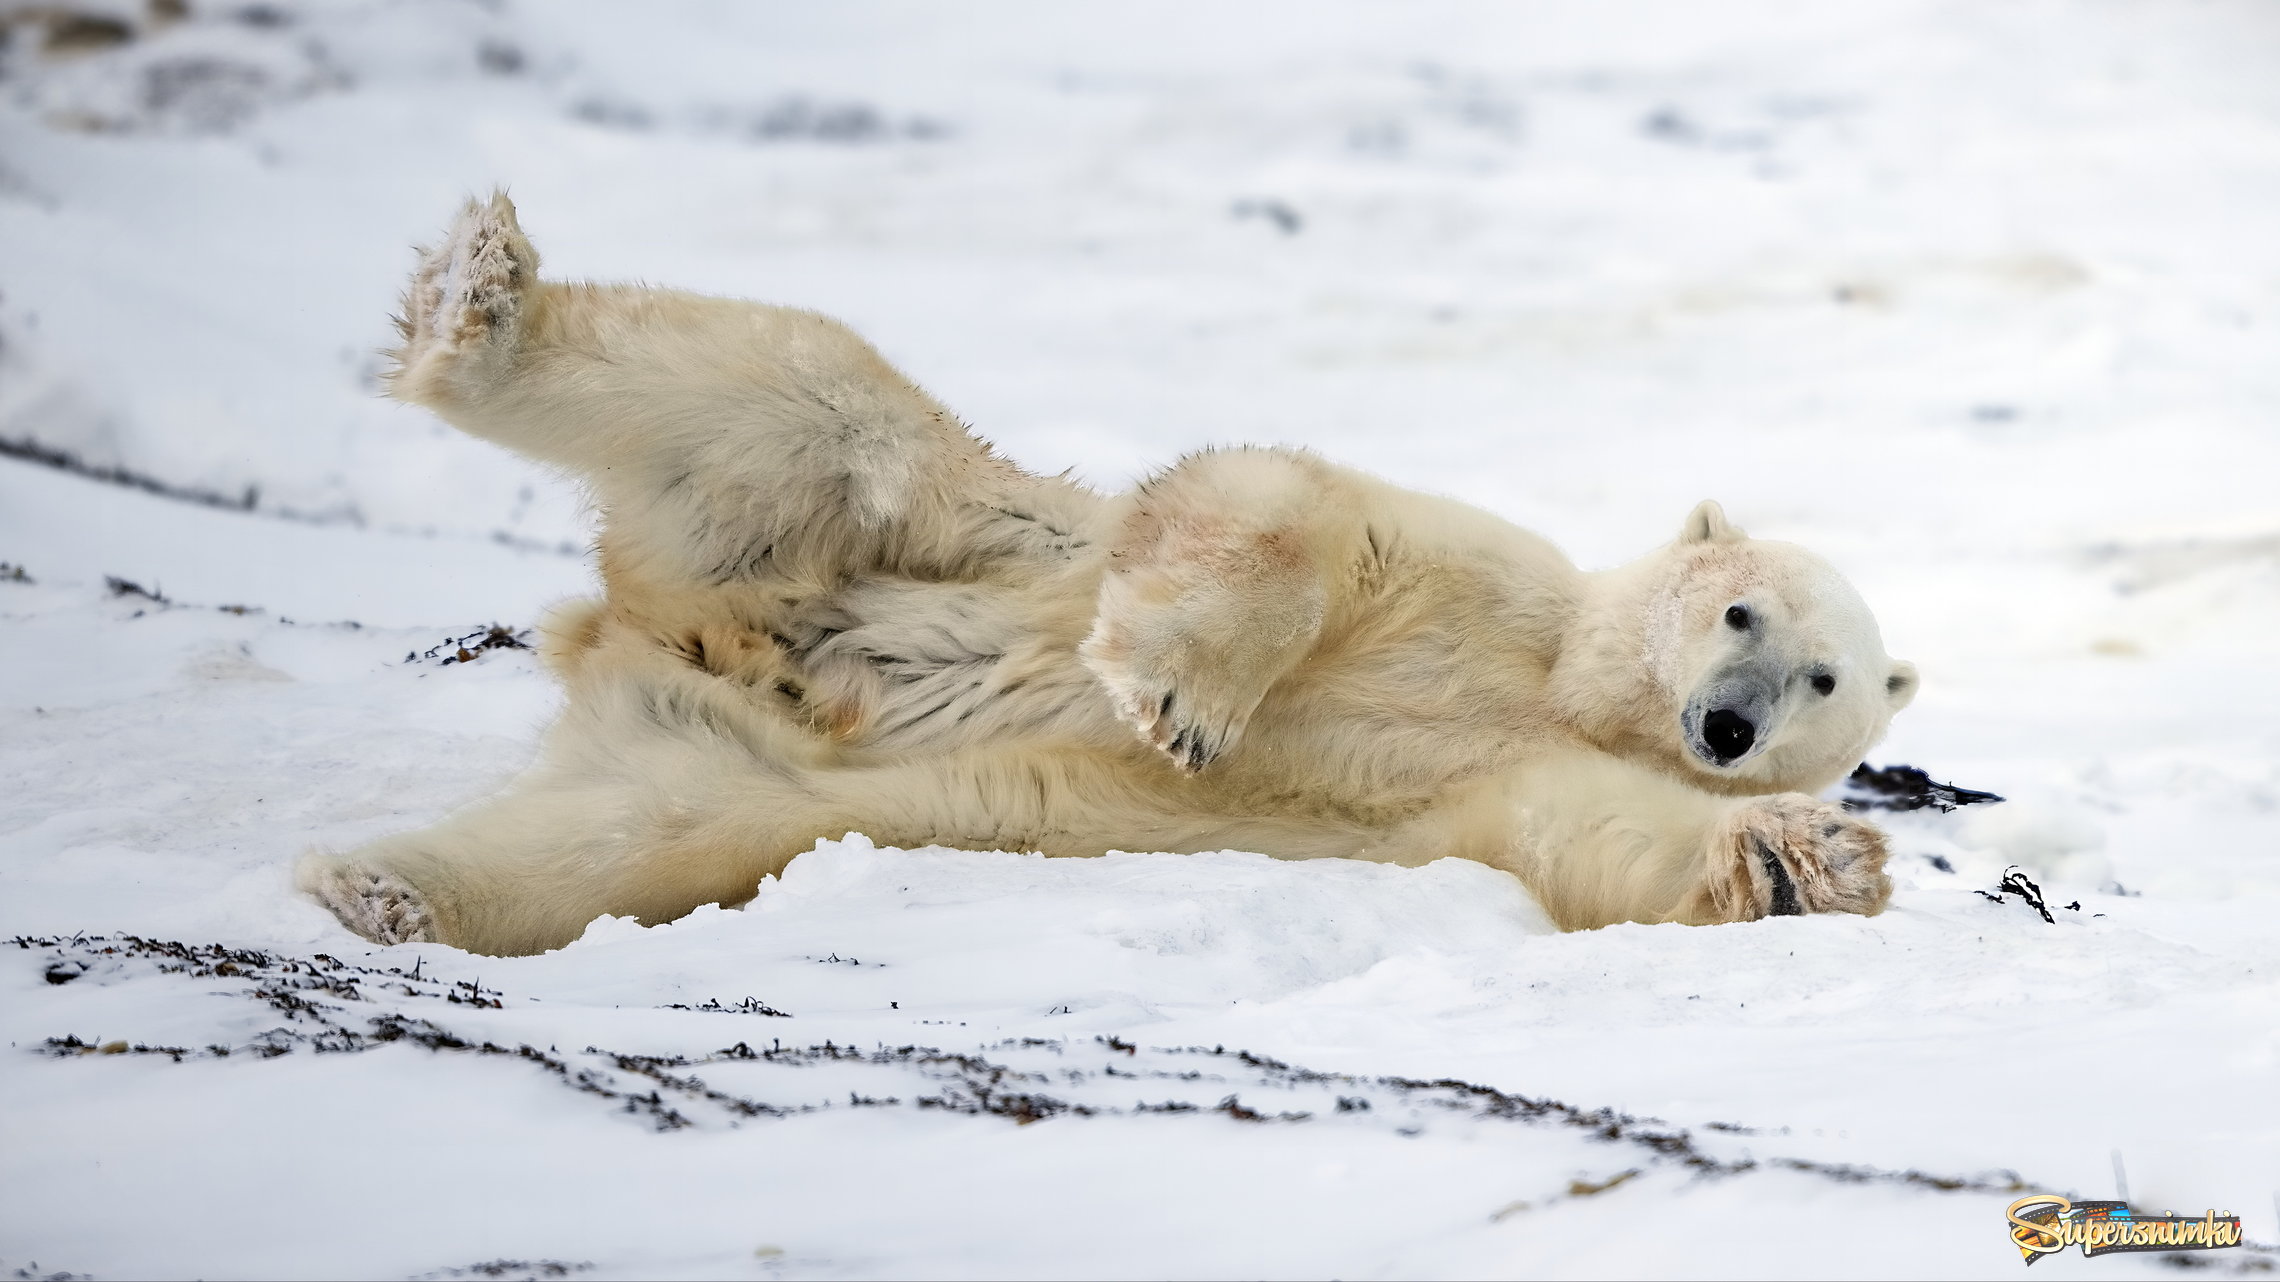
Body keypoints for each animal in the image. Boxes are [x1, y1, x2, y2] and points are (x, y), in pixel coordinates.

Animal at [298, 195, 1906, 953]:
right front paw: (1184, 703)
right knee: (799, 392)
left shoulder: (1528, 774)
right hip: (863, 516)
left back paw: (381, 889)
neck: (1557, 678)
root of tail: (640, 636)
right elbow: (1296, 512)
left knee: (605, 844)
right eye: (1741, 607)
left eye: (1823, 676)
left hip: (723, 772)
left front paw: (1814, 857)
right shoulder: (1481, 577)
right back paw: (477, 301)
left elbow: (1606, 840)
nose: (1728, 723)